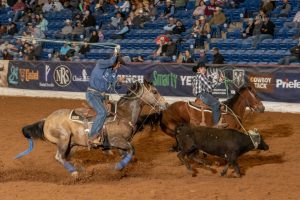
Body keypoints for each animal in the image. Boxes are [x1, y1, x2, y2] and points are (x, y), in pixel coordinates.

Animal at [15, 79, 168, 177]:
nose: (165, 104)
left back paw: (79, 169)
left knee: (65, 157)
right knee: (59, 157)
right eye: (155, 92)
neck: (122, 115)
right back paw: (75, 172)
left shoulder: (121, 144)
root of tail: (46, 120)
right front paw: (118, 167)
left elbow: (129, 154)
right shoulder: (116, 141)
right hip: (63, 139)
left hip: (72, 145)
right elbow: (131, 150)